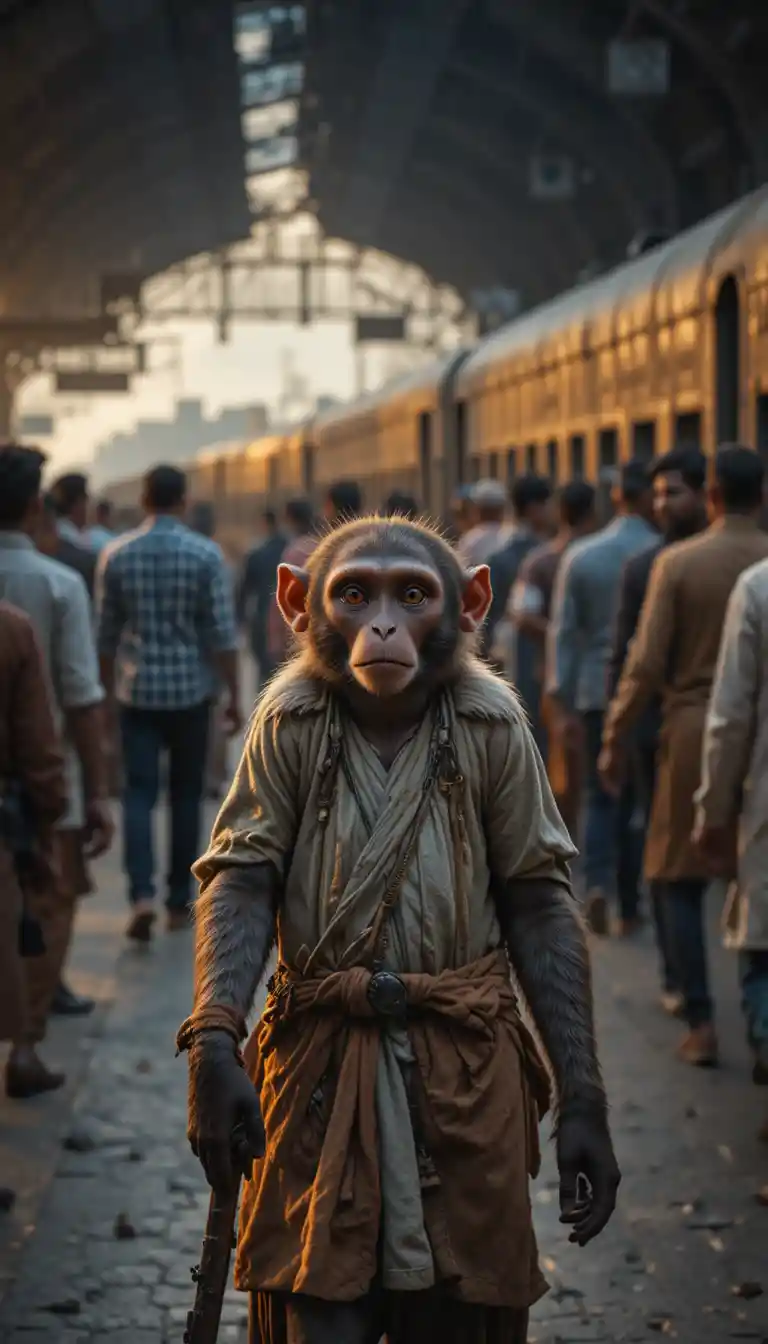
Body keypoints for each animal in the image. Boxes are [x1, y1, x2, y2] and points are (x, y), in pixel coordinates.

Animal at [178, 516, 620, 1344]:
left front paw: (585, 1130)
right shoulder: (274, 725)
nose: (383, 626)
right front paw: (216, 1085)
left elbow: (537, 898)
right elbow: (242, 876)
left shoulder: (509, 733)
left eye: (412, 595)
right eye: (354, 594)